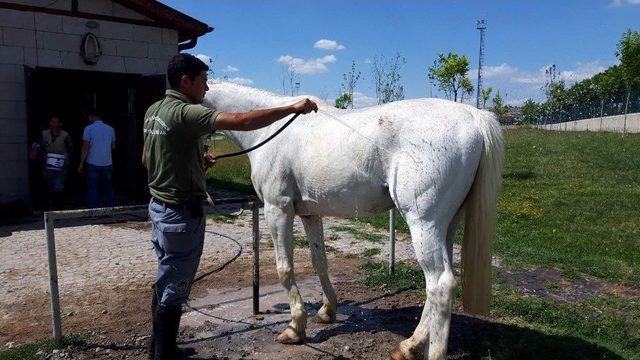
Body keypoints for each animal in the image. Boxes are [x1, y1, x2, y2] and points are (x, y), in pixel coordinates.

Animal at [202, 81, 502, 360]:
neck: (270, 129)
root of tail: (474, 116)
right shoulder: (310, 214)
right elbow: (319, 263)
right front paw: (327, 311)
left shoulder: (278, 210)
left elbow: (284, 270)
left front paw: (295, 328)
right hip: (446, 226)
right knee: (437, 285)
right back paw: (409, 346)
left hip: (424, 225)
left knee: (440, 283)